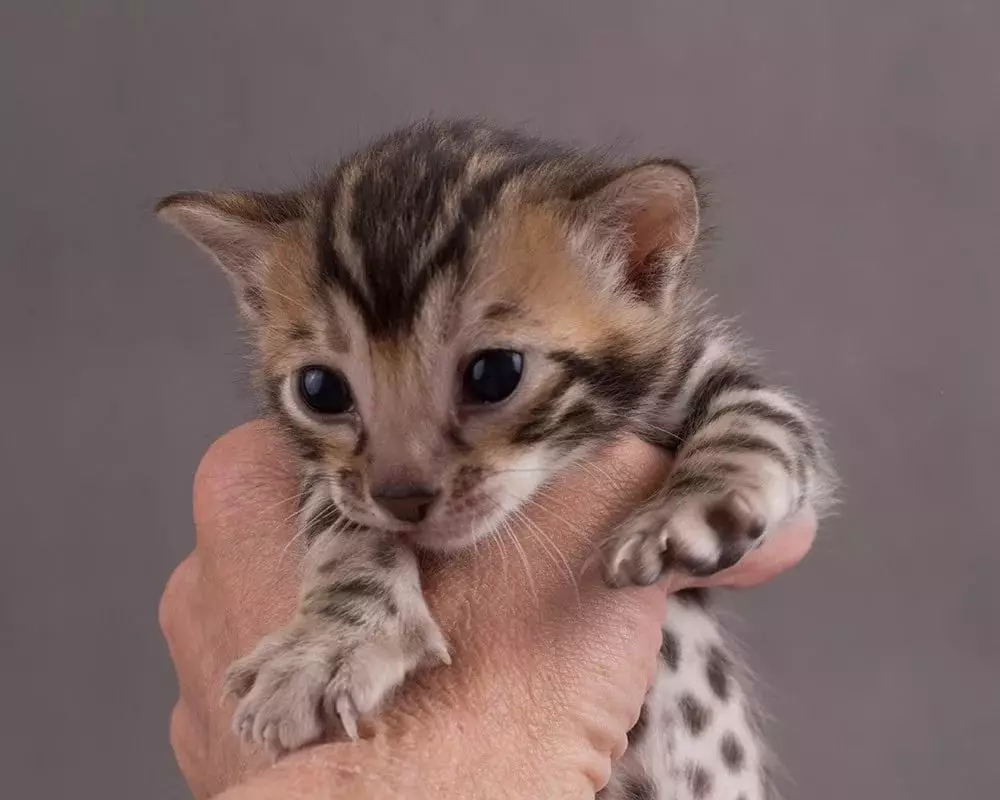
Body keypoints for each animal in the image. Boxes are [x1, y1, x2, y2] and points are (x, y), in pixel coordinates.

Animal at [158, 119, 836, 800]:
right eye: (320, 389)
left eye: (495, 374)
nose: (402, 498)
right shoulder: (332, 478)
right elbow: (341, 525)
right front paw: (333, 641)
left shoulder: (710, 374)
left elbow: (757, 428)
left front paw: (691, 510)